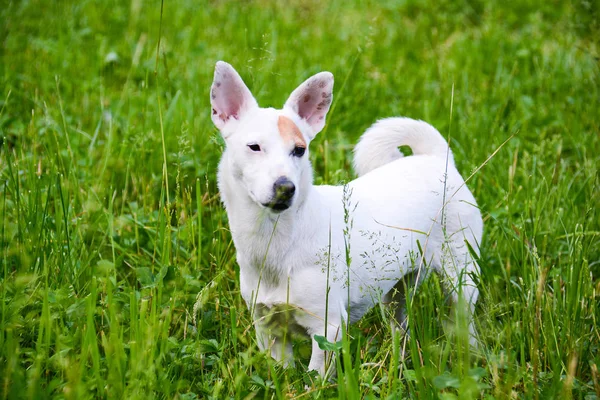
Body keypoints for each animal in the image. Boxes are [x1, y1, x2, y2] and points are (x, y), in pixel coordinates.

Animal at [211, 61, 482, 376]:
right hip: (396, 291)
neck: (276, 241)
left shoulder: (327, 328)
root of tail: (437, 159)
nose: (285, 187)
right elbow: (282, 372)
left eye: (299, 150)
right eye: (254, 147)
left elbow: (315, 377)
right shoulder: (269, 329)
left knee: (464, 320)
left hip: (460, 276)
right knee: (400, 325)